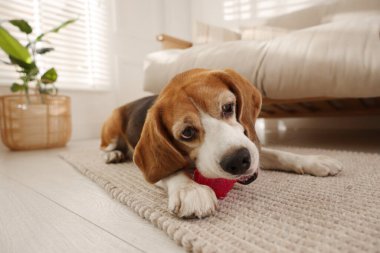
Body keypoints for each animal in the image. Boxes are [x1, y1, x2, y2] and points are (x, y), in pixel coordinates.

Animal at [100, 68, 342, 217]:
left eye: (228, 107)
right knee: (104, 147)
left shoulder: (250, 142)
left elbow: (279, 153)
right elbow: (172, 171)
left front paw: (313, 160)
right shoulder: (154, 168)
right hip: (111, 129)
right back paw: (113, 154)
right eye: (187, 133)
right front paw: (191, 190)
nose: (238, 160)